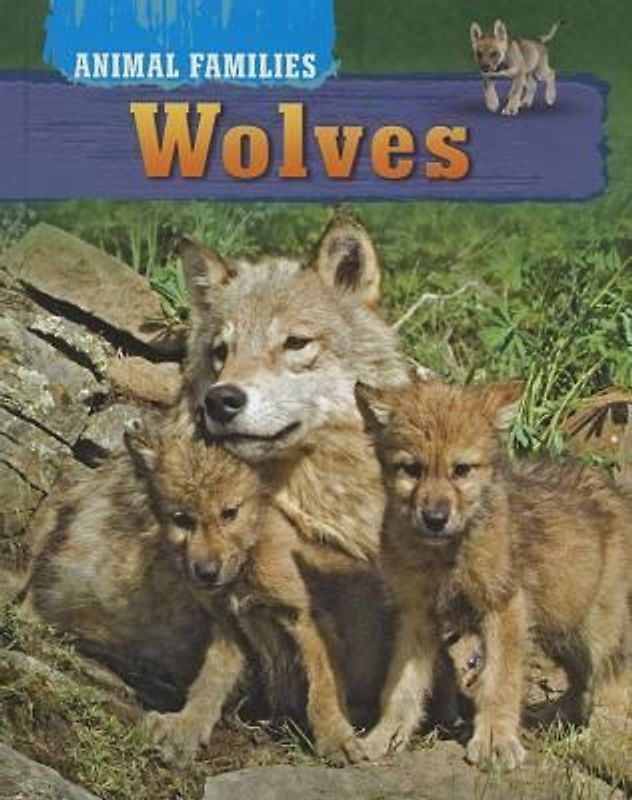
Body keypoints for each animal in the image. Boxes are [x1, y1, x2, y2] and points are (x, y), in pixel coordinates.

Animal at [357, 379, 632, 769]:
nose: (435, 519)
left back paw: (598, 741)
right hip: (560, 625)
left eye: (462, 469)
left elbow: (499, 682)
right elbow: (400, 686)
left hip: (597, 628)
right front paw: (386, 736)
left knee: (613, 684)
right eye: (411, 469)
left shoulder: (503, 608)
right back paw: (549, 718)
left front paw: (494, 743)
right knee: (581, 683)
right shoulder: (416, 615)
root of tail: (614, 489)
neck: (446, 555)